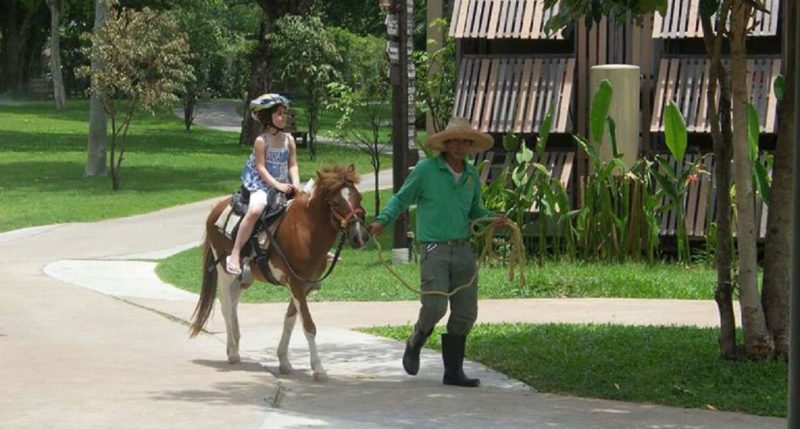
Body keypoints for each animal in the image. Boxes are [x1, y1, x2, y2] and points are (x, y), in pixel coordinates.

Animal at [191, 165, 368, 382]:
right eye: (335, 202)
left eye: (359, 197)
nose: (359, 237)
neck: (306, 231)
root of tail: (216, 207)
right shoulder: (296, 283)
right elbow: (308, 325)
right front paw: (318, 369)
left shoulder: (305, 285)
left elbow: (290, 320)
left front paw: (284, 361)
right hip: (224, 271)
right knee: (225, 306)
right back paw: (232, 352)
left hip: (244, 278)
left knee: (233, 303)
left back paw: (234, 346)